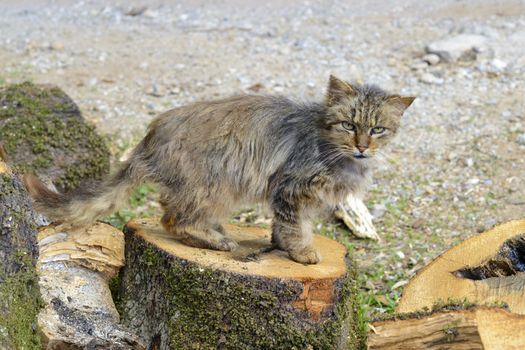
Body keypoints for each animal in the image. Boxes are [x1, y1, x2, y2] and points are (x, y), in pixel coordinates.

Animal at [23, 76, 414, 262]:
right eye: (349, 125)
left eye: (378, 130)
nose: (363, 146)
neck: (335, 152)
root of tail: (150, 137)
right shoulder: (290, 188)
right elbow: (296, 226)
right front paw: (301, 252)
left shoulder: (288, 195)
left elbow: (282, 226)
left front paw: (280, 245)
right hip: (216, 185)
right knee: (173, 220)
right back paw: (216, 240)